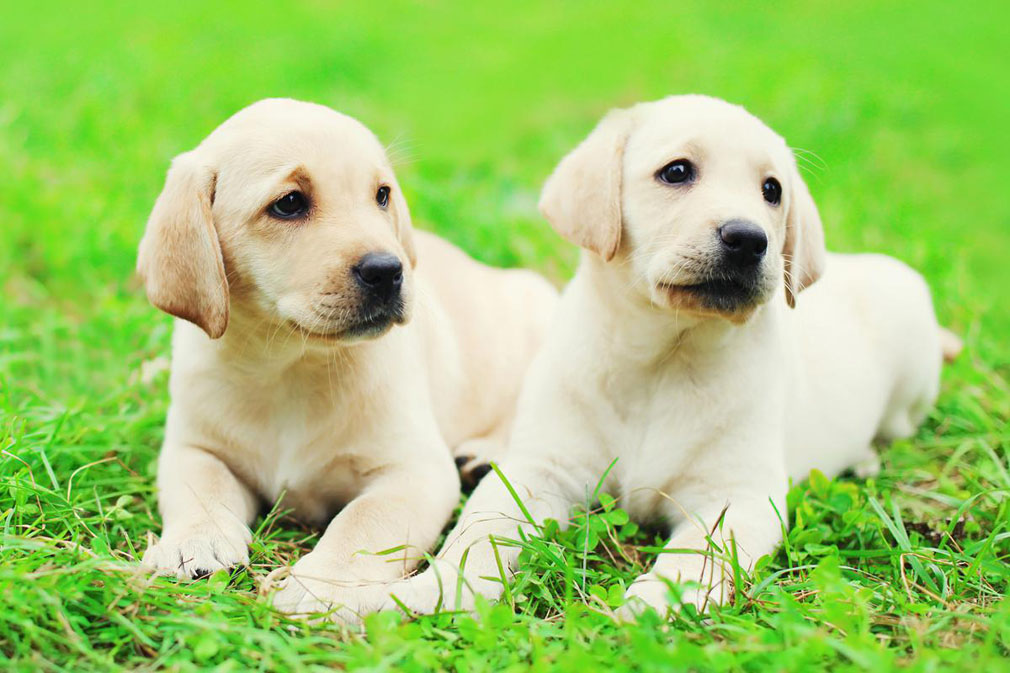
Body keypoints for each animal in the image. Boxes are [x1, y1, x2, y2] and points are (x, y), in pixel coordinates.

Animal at [133, 95, 557, 614]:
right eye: (289, 203)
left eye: (382, 195)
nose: (389, 270)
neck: (290, 364)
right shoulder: (194, 445)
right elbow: (198, 486)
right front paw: (195, 540)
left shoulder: (413, 471)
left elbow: (362, 523)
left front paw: (320, 585)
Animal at [327, 92, 957, 618]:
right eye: (676, 172)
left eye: (772, 191)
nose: (750, 238)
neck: (664, 357)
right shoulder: (540, 469)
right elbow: (479, 535)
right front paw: (420, 594)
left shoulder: (738, 496)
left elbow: (695, 558)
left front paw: (648, 609)